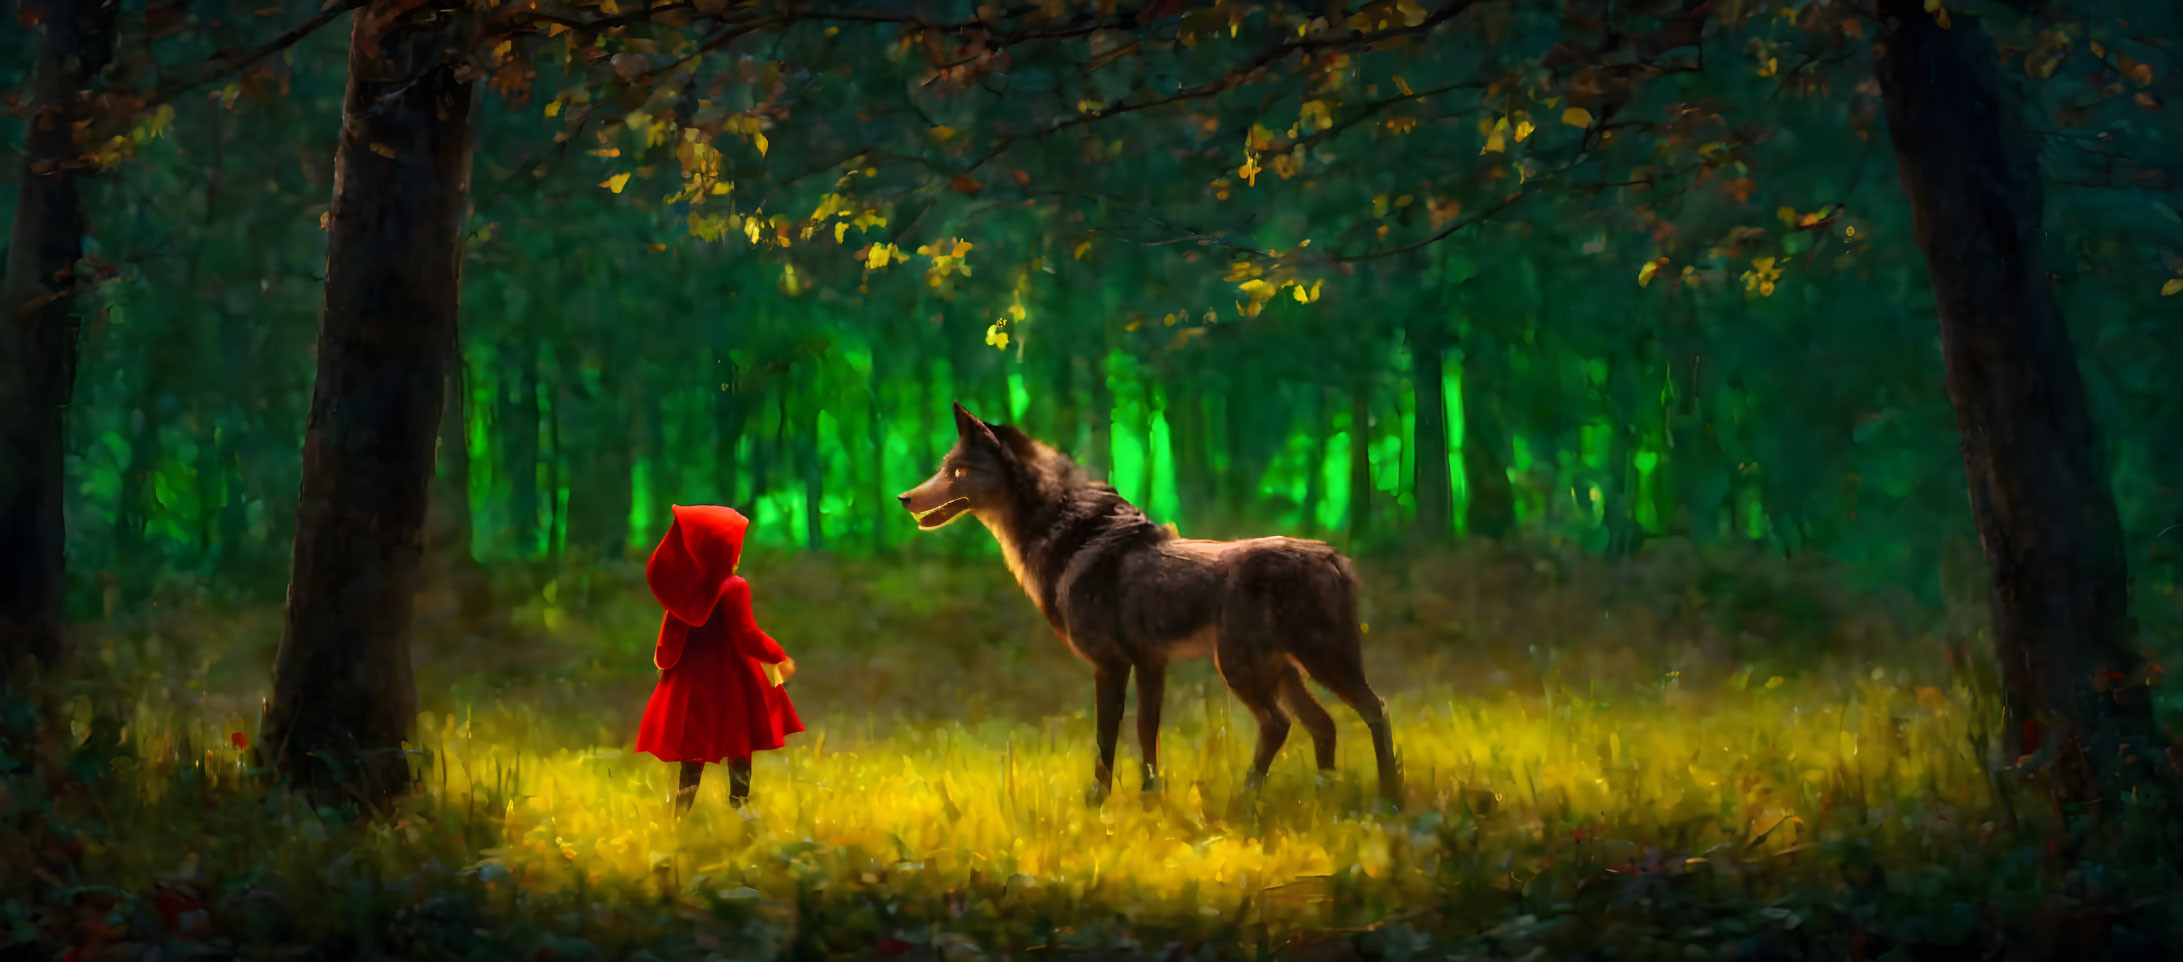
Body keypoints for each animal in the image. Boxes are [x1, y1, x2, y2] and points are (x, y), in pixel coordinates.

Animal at [899, 399, 1397, 802]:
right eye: (944, 467)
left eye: (958, 472)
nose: (904, 497)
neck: (1068, 537)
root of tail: (1335, 557)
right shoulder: (1151, 664)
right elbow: (1147, 735)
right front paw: (1150, 797)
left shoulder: (1112, 665)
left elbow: (1107, 740)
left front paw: (1097, 802)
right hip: (1283, 671)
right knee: (1327, 723)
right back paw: (1333, 794)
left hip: (1256, 669)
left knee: (1326, 717)